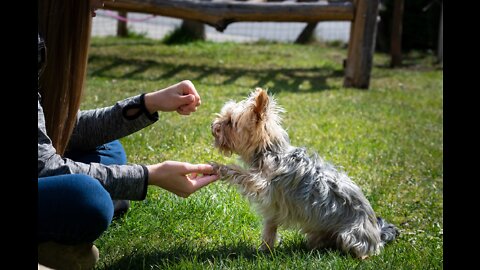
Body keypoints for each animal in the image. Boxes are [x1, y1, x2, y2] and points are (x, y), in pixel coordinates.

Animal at [212, 87, 400, 258]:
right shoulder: (273, 207)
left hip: (351, 236)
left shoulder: (262, 182)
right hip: (319, 231)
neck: (269, 150)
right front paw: (265, 250)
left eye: (230, 122)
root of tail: (378, 235)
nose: (213, 126)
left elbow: (242, 174)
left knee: (360, 251)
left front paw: (219, 167)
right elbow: (270, 229)